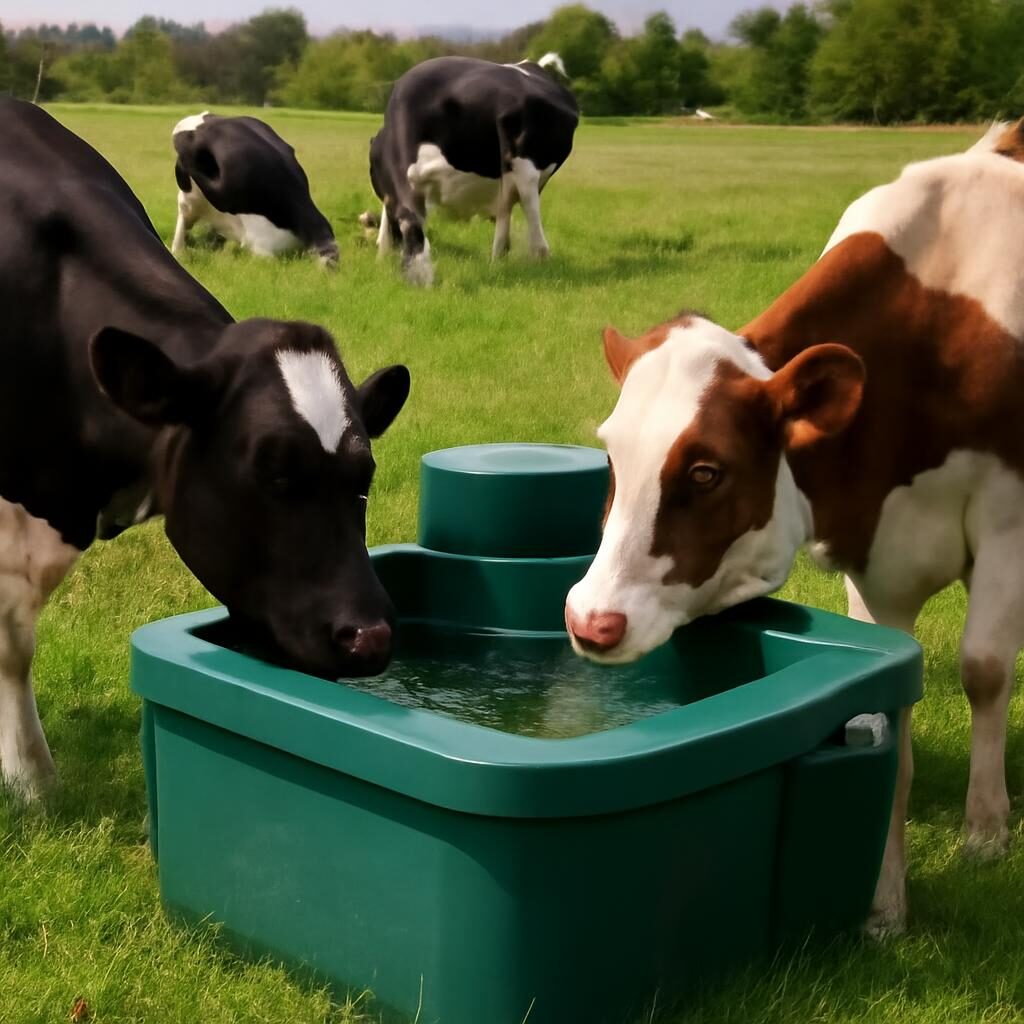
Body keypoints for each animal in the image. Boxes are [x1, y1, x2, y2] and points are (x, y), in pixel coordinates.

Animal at [564, 120, 1024, 937]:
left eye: (706, 471)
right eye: (612, 453)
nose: (591, 620)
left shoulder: (1007, 516)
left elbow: (985, 668)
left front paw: (986, 830)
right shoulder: (877, 555)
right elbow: (888, 719)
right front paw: (882, 904)